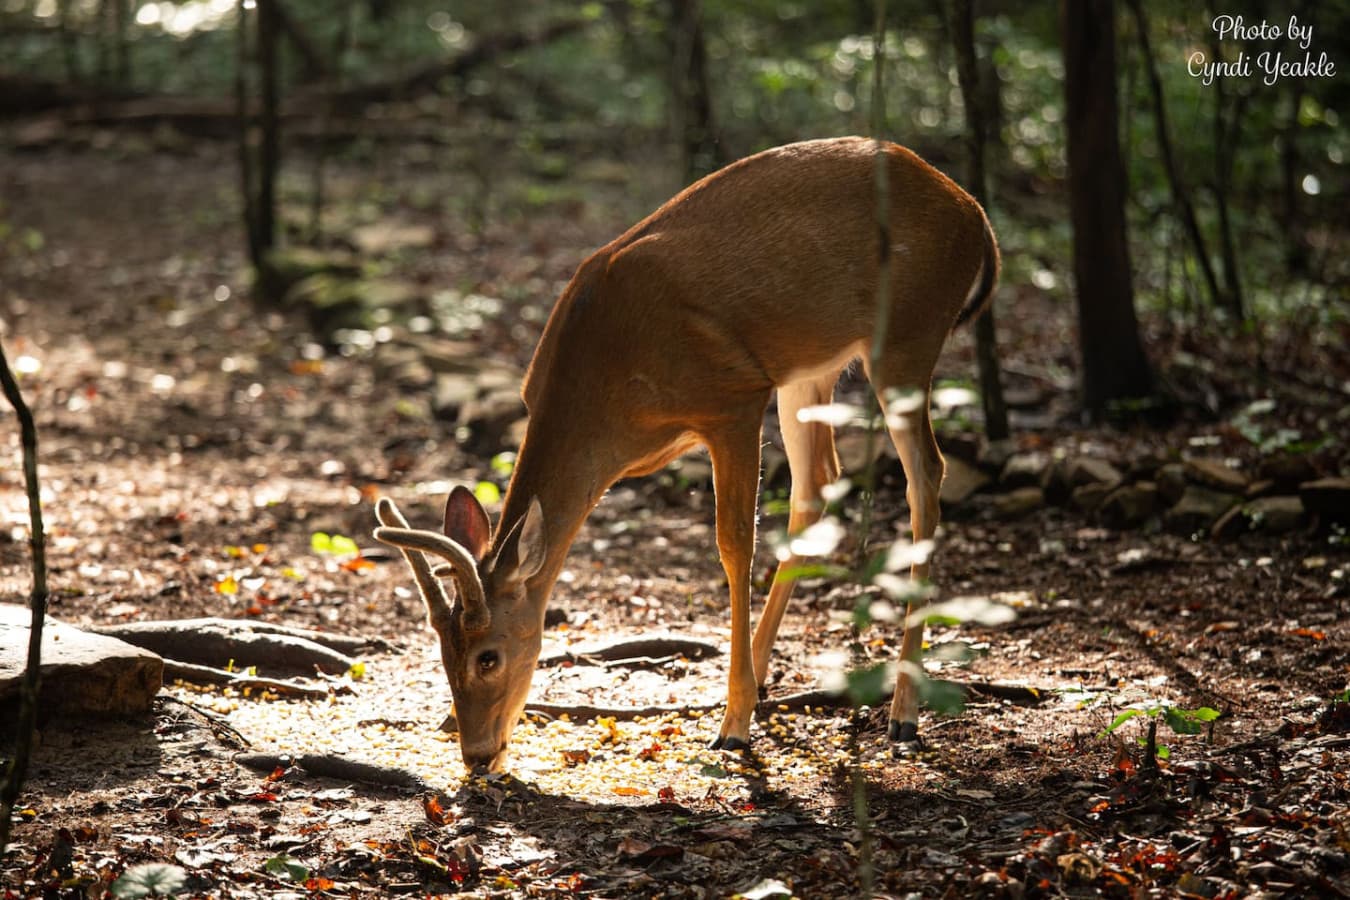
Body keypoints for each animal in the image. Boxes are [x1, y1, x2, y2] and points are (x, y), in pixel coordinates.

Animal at [373, 136, 999, 773]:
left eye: (488, 656)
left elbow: (734, 545)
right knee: (819, 481)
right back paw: (768, 676)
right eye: (442, 652)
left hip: (907, 335)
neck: (606, 394)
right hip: (812, 367)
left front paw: (733, 727)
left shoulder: (732, 398)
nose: (476, 755)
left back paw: (901, 712)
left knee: (926, 474)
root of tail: (974, 215)